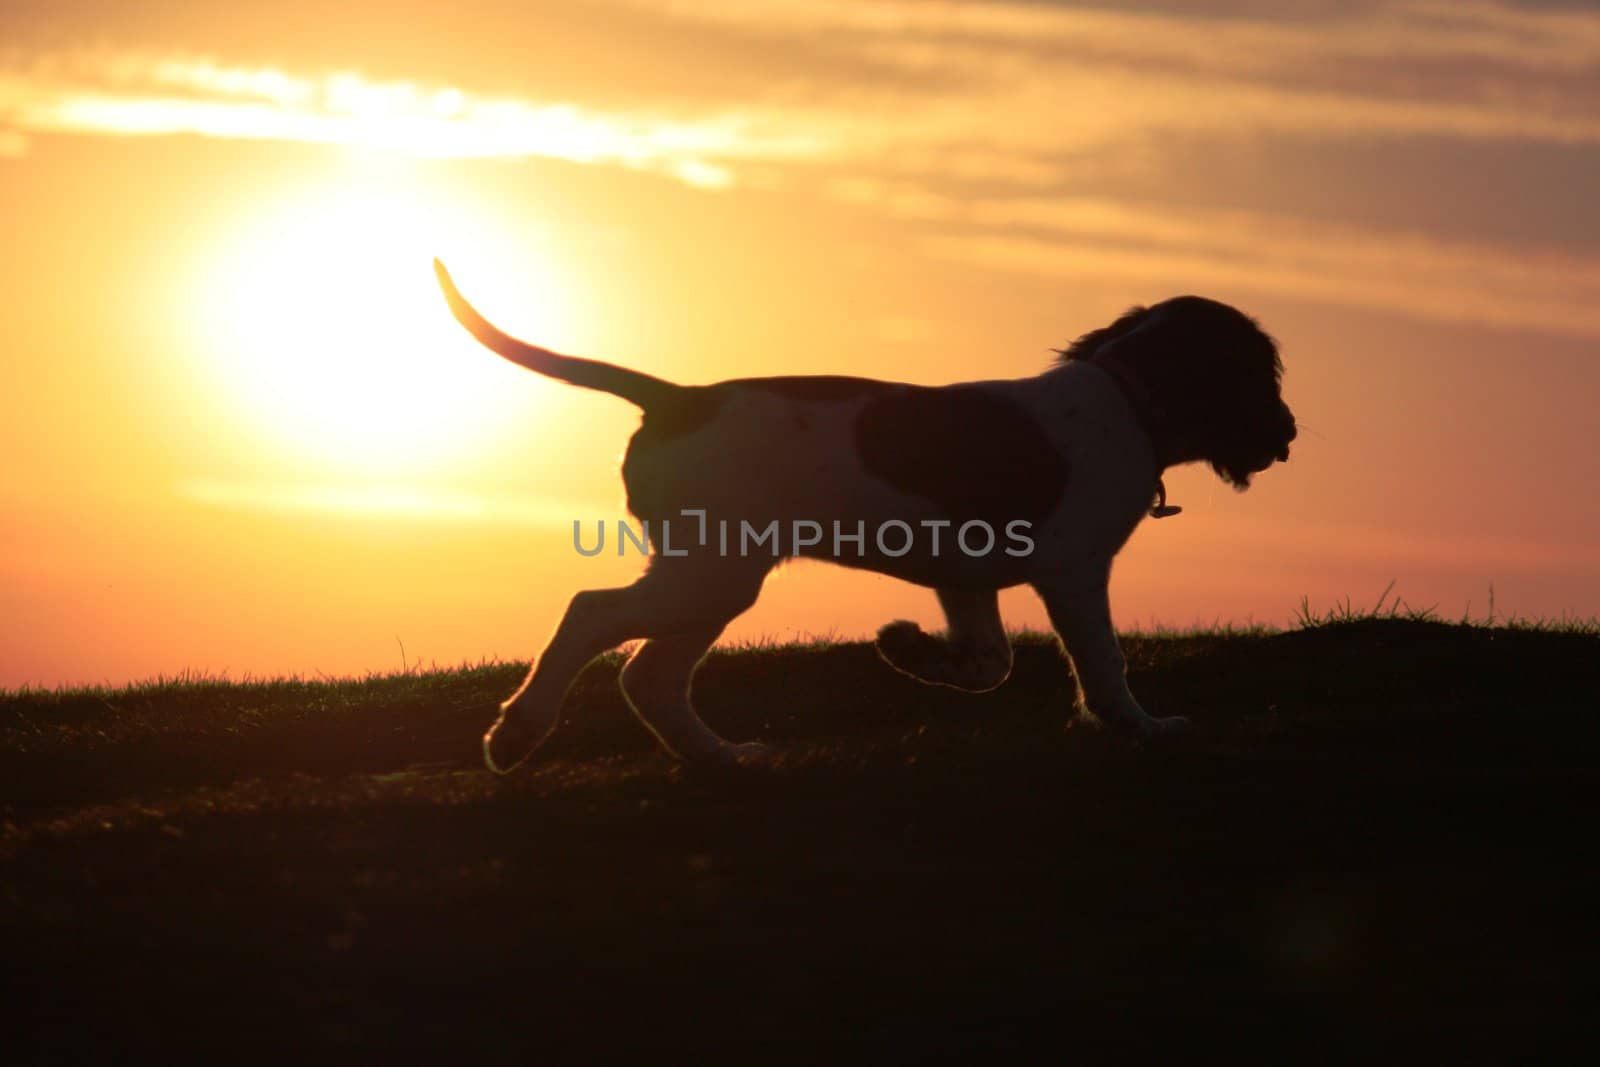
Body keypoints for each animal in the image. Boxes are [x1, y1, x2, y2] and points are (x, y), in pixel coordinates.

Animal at [432, 262, 1292, 771]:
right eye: (1261, 373)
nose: (1287, 432)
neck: (1128, 398)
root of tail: (679, 399)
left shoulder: (964, 574)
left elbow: (990, 660)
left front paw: (909, 649)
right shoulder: (1075, 570)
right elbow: (1105, 662)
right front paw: (1140, 726)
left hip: (715, 573)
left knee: (650, 674)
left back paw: (722, 756)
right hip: (709, 573)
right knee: (590, 615)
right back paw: (517, 731)